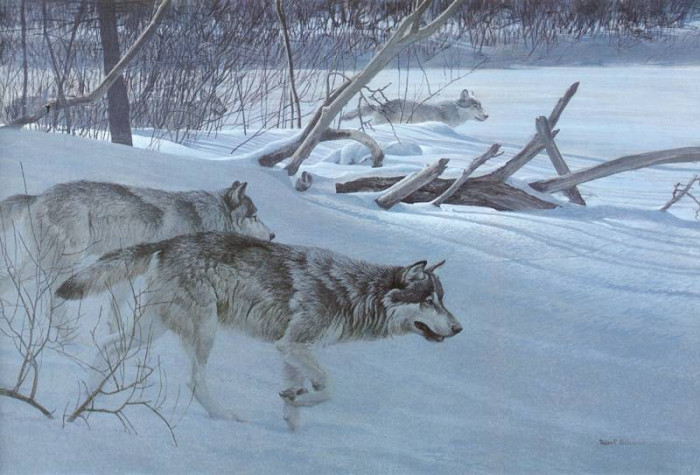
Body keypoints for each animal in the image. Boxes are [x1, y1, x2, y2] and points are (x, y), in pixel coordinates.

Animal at [56, 231, 462, 430]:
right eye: (429, 301)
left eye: (442, 299)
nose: (459, 328)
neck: (353, 292)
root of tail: (169, 242)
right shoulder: (292, 344)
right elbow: (329, 388)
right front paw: (300, 401)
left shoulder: (289, 348)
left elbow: (298, 397)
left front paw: (293, 418)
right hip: (204, 331)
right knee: (193, 380)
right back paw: (224, 417)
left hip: (153, 330)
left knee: (108, 345)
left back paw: (84, 396)